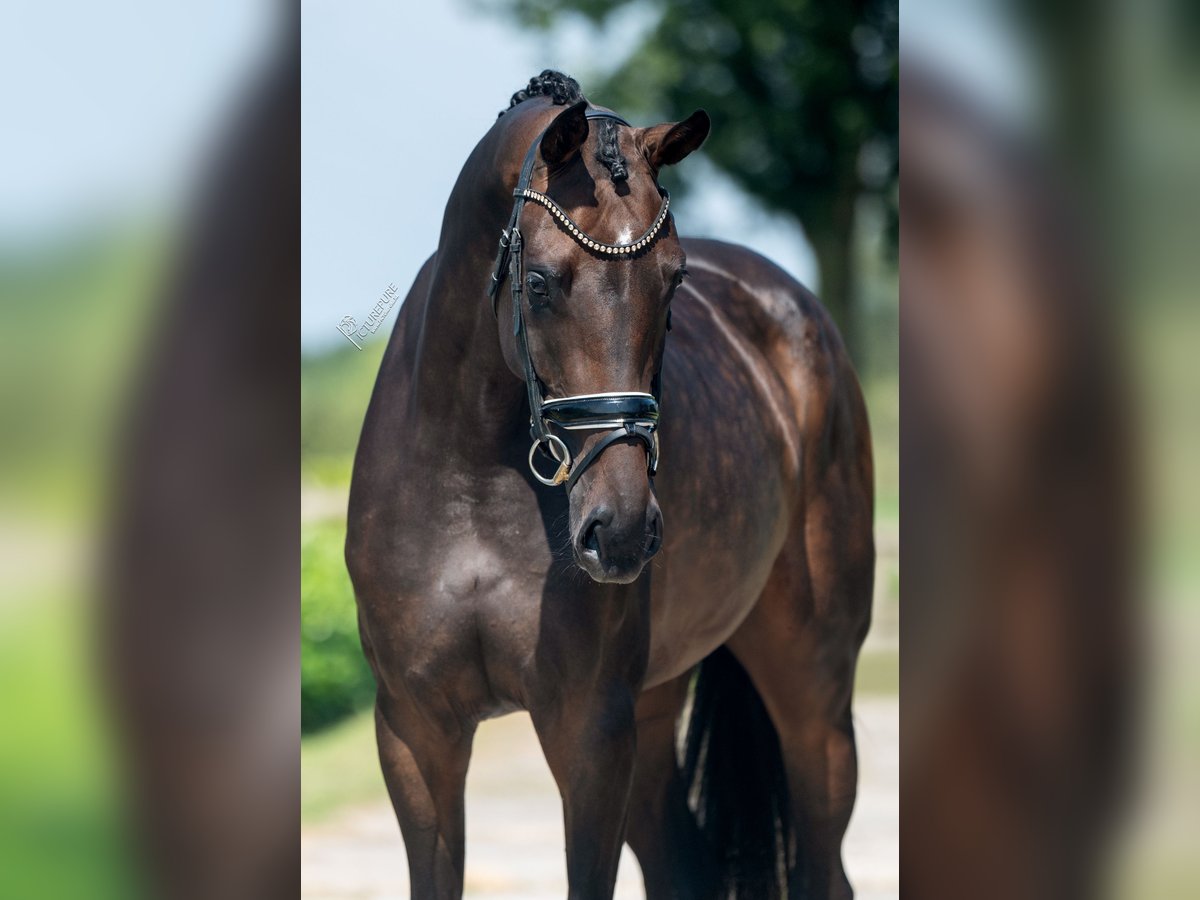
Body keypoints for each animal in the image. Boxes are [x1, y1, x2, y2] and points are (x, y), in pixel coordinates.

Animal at [345, 72, 873, 900]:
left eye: (674, 280)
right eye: (537, 283)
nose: (620, 531)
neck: (470, 478)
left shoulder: (588, 728)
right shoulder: (414, 730)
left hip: (813, 686)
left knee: (825, 865)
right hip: (655, 706)